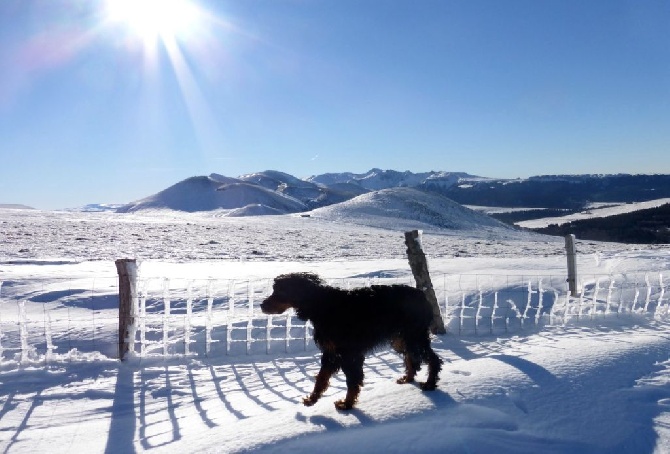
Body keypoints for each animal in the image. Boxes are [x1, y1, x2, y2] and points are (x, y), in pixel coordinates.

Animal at [260, 274, 444, 412]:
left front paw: (347, 404)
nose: (261, 305)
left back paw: (429, 383)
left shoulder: (348, 353)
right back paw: (408, 378)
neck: (323, 306)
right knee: (412, 357)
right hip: (401, 338)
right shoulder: (331, 352)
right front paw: (312, 399)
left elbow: (352, 381)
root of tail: (422, 295)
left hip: (414, 336)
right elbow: (321, 378)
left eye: (280, 291)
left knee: (432, 359)